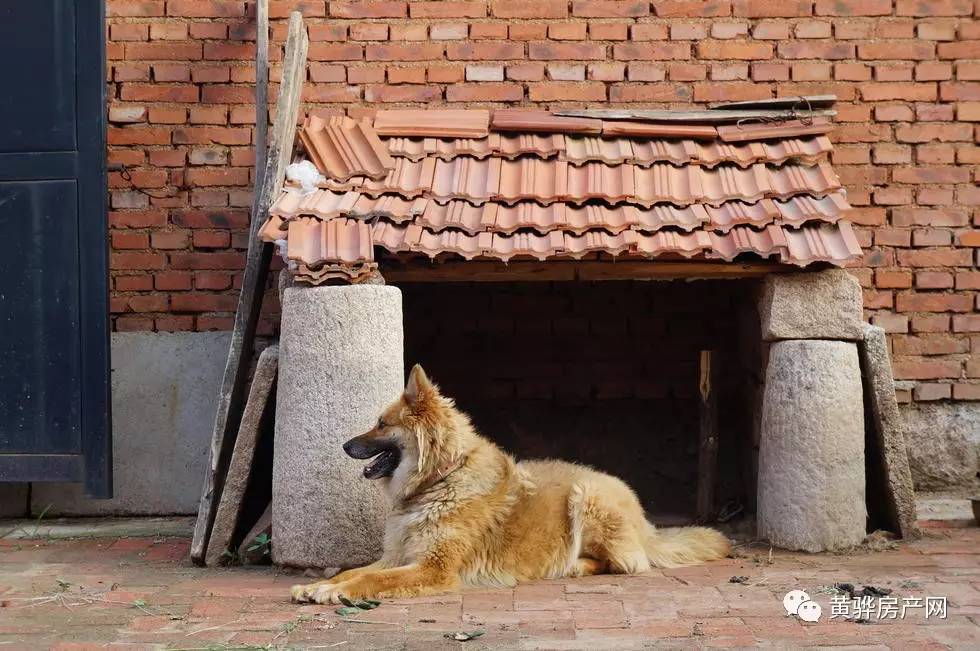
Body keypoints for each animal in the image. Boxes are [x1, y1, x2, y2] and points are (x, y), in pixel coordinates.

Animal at [290, 364, 728, 604]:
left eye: (382, 424)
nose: (344, 445)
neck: (441, 479)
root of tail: (645, 524)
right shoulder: (398, 556)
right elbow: (353, 571)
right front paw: (319, 585)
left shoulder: (433, 568)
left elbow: (371, 579)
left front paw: (331, 592)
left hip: (586, 497)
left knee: (626, 564)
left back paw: (575, 566)